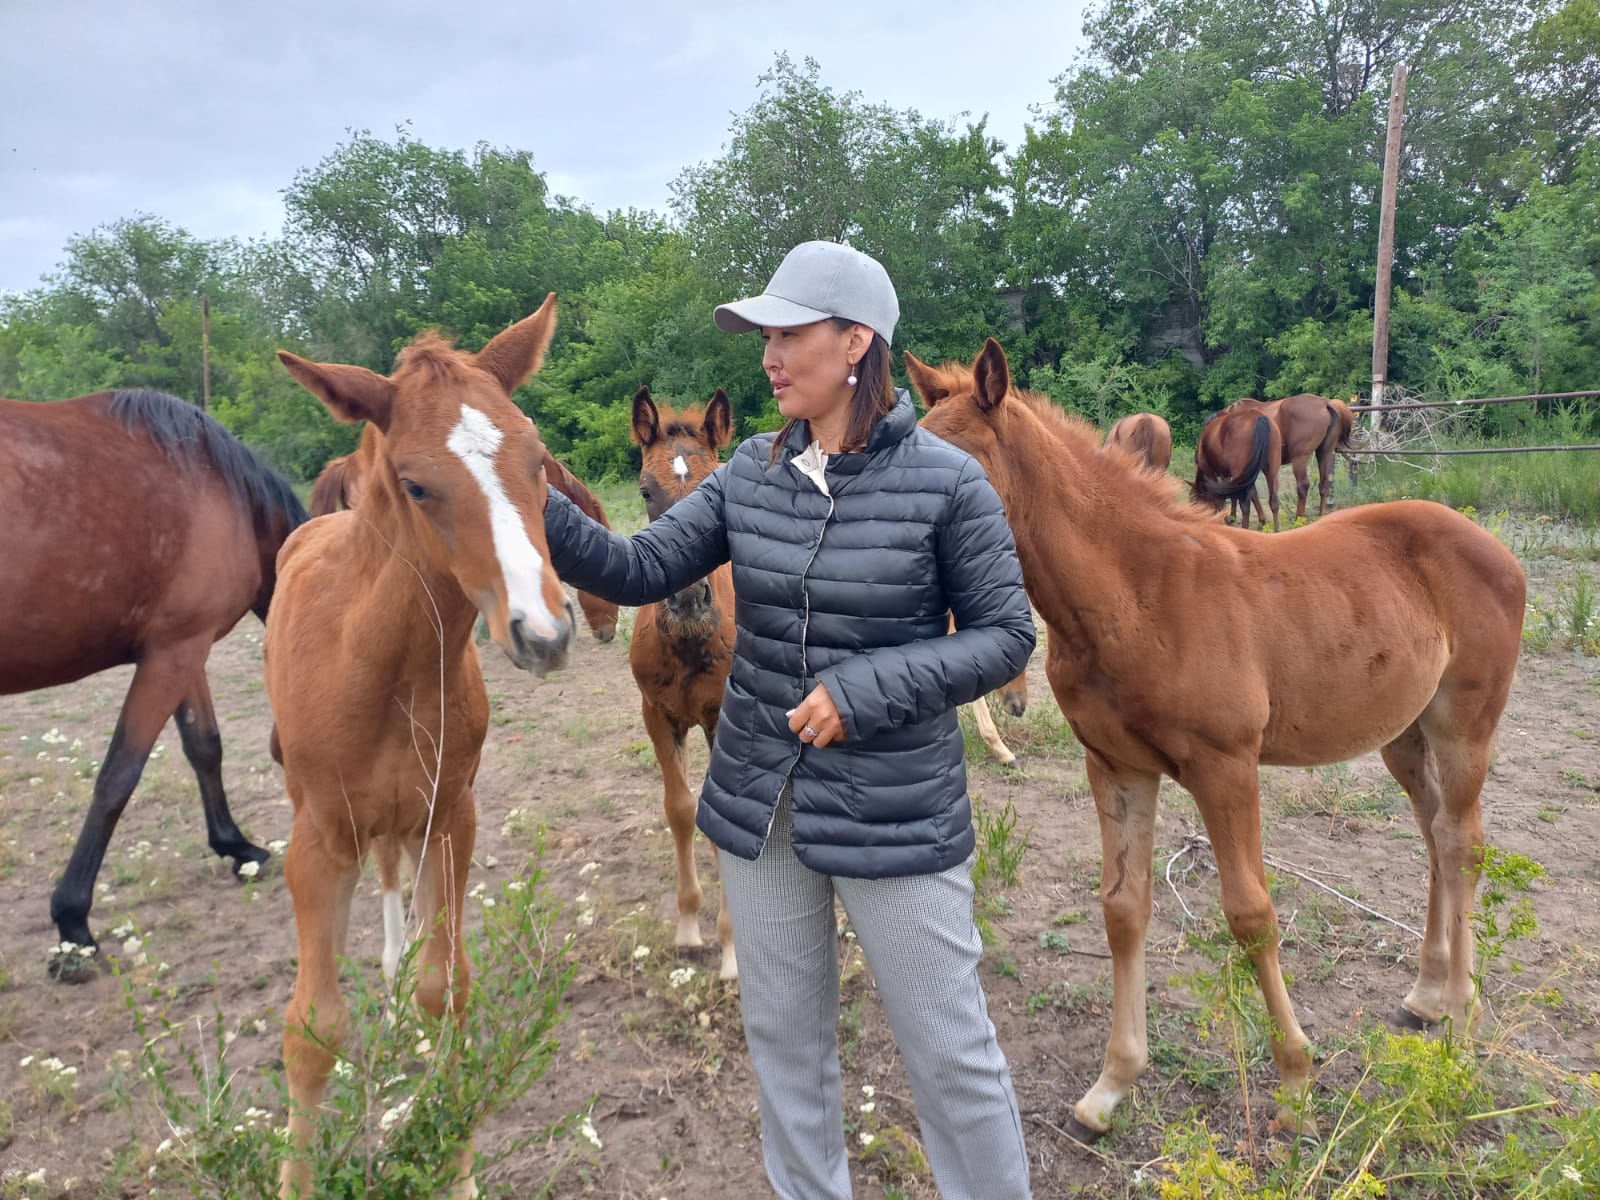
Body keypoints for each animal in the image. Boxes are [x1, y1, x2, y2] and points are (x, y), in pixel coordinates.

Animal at [0, 390, 304, 972]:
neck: (224, 492)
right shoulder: (172, 652)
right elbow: (118, 776)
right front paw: (72, 922)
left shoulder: (184, 647)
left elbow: (204, 746)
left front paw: (236, 847)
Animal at [267, 294, 576, 1200]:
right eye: (415, 483)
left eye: (538, 458)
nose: (543, 632)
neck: (378, 665)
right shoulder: (317, 841)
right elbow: (313, 1029)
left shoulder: (450, 816)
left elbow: (448, 986)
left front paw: (457, 1161)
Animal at [915, 340, 1523, 1145]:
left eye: (958, 462)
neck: (1135, 598)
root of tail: (1493, 546)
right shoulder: (1115, 766)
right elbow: (1123, 908)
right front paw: (1110, 1087)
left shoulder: (1225, 766)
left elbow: (1252, 916)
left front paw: (1295, 1084)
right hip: (1401, 734)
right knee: (1433, 837)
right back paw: (1425, 995)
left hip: (1463, 727)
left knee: (1463, 845)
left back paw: (1461, 1016)